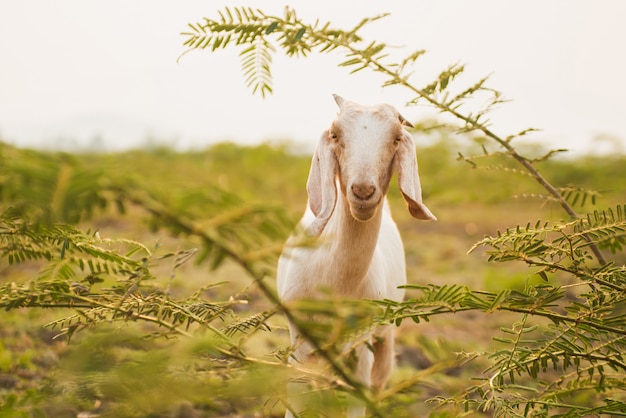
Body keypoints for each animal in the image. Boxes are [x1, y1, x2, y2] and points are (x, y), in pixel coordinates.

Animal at [276, 95, 434, 418]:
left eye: (396, 138)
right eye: (335, 135)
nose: (362, 191)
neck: (335, 286)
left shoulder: (362, 341)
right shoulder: (299, 336)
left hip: (384, 336)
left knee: (378, 383)